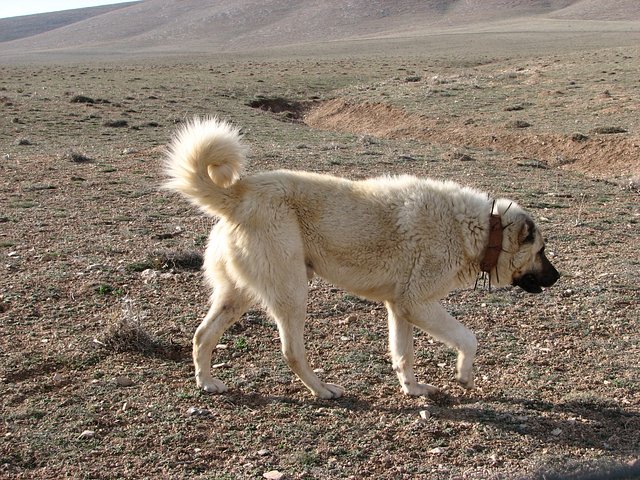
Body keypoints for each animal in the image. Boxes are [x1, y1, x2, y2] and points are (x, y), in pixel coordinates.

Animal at [165, 118, 560, 400]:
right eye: (541, 250)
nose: (557, 277)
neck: (482, 230)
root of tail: (239, 195)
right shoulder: (418, 304)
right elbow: (468, 338)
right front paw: (464, 376)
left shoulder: (400, 308)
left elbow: (403, 354)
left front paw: (413, 389)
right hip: (292, 292)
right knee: (291, 351)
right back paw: (323, 390)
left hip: (238, 294)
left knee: (202, 335)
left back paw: (207, 382)